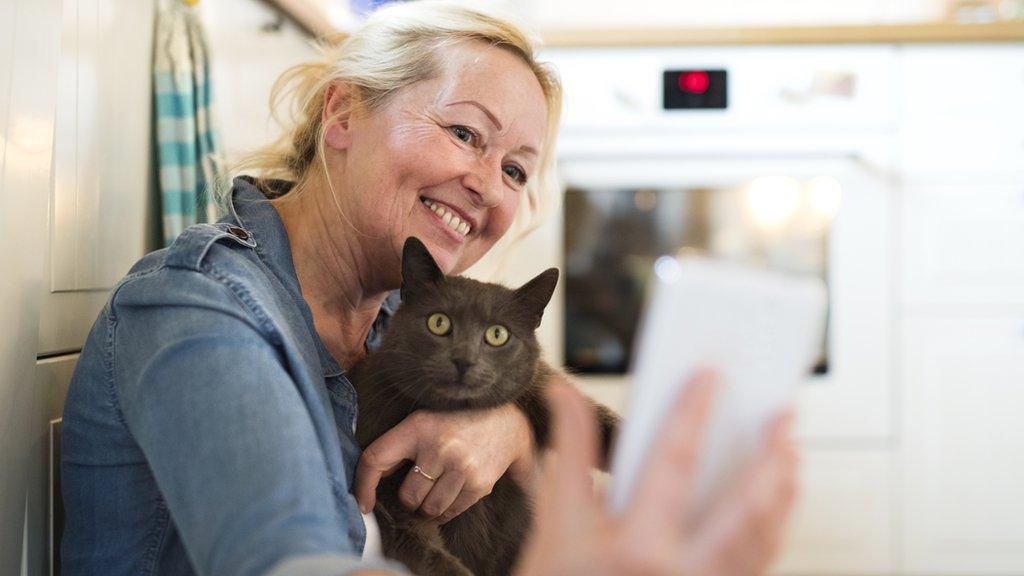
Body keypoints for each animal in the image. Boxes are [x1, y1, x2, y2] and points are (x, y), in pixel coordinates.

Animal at [348, 235, 618, 569]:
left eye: (498, 334)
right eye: (438, 322)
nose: (463, 359)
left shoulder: (540, 385)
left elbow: (596, 420)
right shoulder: (386, 490)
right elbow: (415, 541)